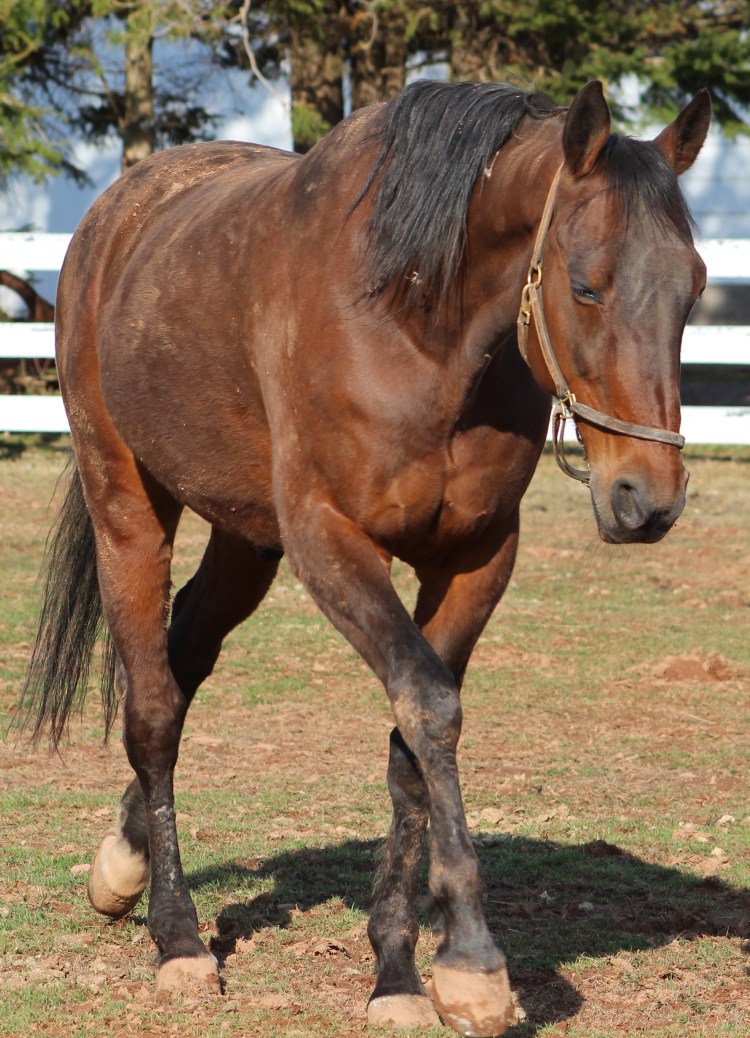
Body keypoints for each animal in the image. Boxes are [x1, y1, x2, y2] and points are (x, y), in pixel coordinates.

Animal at [21, 78, 710, 1036]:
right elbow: (428, 705)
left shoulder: (475, 559)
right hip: (127, 504)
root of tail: (115, 216)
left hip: (245, 540)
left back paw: (120, 866)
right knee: (153, 706)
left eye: (696, 288)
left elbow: (413, 739)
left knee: (185, 653)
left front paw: (398, 968)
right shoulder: (331, 541)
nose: (649, 498)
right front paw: (471, 964)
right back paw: (179, 939)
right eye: (585, 284)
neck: (420, 328)